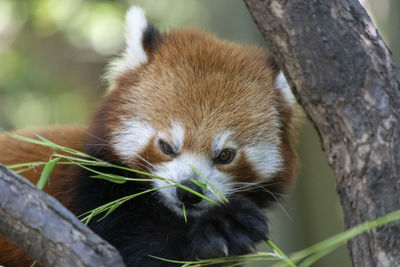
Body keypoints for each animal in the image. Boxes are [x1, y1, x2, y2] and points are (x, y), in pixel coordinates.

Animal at [0, 6, 300, 267]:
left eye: (225, 155)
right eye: (166, 146)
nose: (188, 192)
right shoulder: (92, 198)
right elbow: (141, 249)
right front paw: (223, 227)